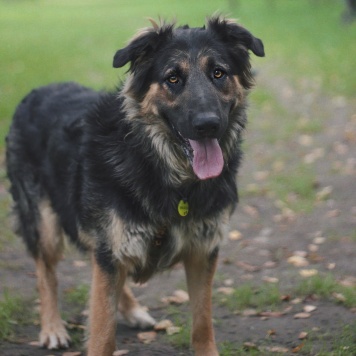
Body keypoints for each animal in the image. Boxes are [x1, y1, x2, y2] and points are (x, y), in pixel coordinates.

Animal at [4, 16, 262, 356]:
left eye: (218, 73)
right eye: (172, 78)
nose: (208, 125)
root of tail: (36, 91)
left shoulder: (202, 251)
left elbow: (202, 323)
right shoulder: (112, 247)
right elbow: (103, 333)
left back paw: (130, 309)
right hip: (46, 224)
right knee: (46, 271)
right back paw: (52, 327)